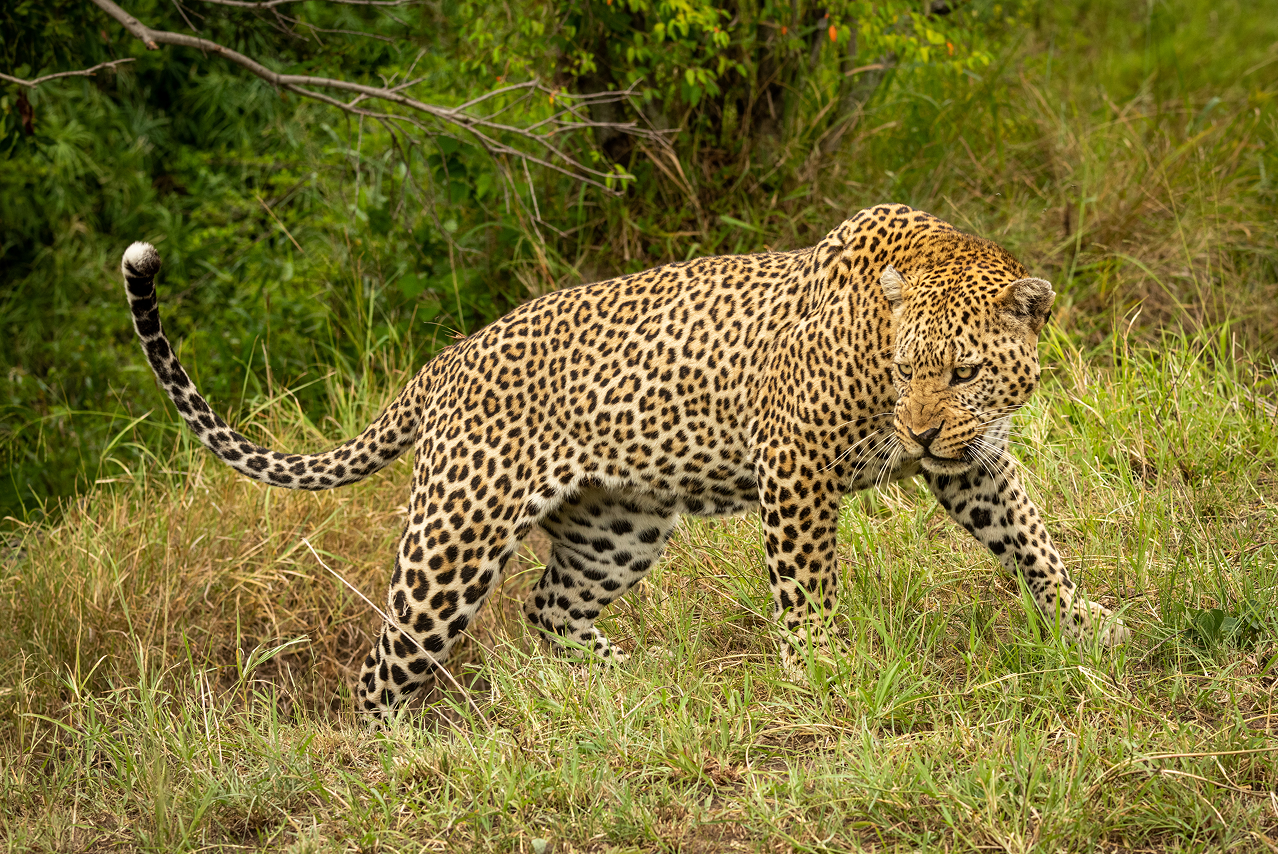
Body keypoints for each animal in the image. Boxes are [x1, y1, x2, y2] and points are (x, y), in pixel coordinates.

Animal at [120, 204, 1128, 724]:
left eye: (962, 372)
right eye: (906, 367)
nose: (916, 435)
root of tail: (443, 361)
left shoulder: (971, 463)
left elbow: (1032, 540)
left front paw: (1087, 623)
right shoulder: (798, 468)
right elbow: (807, 587)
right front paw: (821, 672)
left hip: (620, 526)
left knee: (548, 609)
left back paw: (630, 678)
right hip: (455, 539)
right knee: (385, 663)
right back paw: (395, 755)